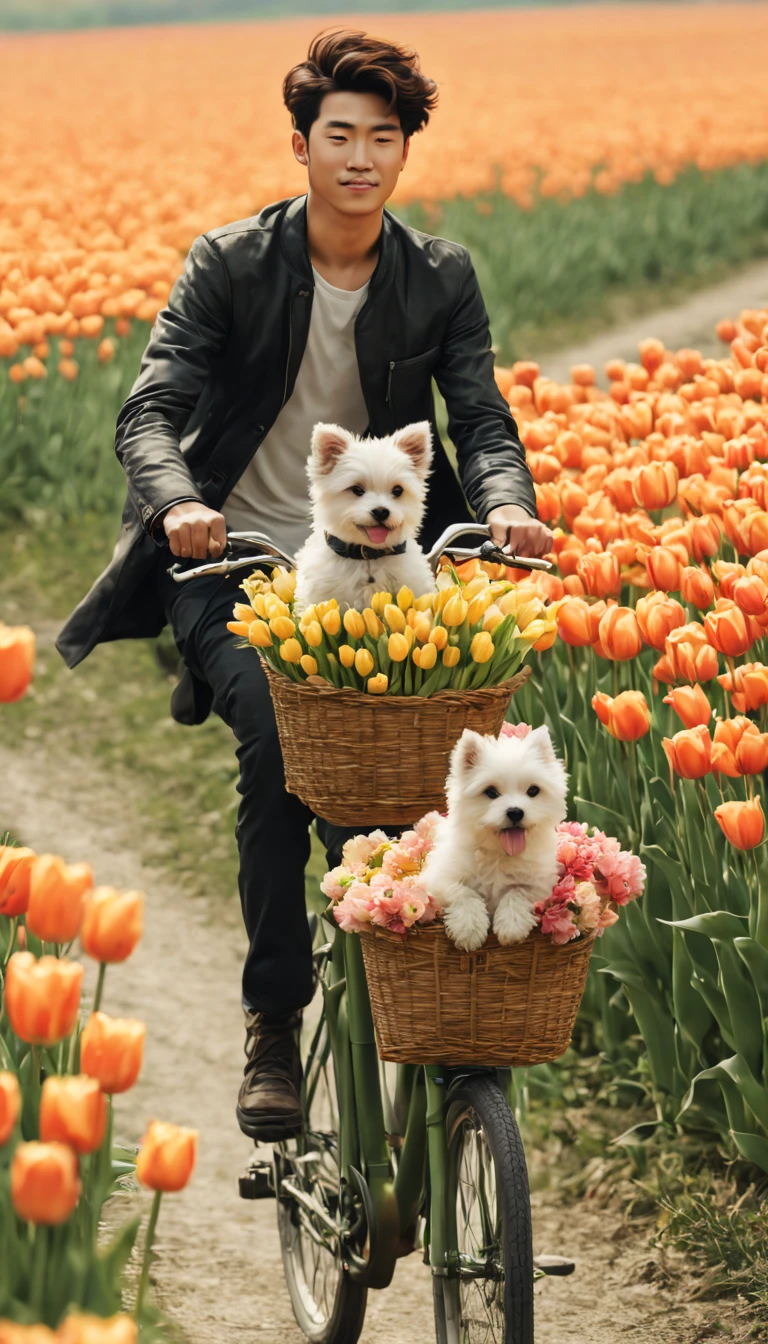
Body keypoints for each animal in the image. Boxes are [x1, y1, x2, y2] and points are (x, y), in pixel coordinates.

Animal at [419, 725, 570, 956]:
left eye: (533, 790)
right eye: (490, 792)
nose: (515, 812)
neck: (500, 853)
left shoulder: (540, 884)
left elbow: (517, 892)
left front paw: (511, 927)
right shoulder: (439, 879)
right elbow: (465, 893)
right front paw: (469, 930)